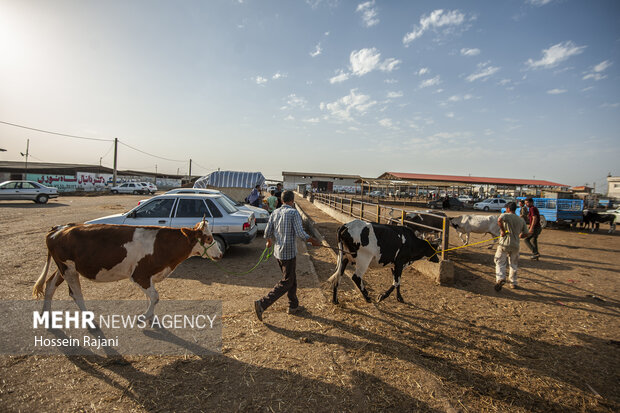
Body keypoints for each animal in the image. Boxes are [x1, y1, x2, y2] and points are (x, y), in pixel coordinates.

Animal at [32, 217, 223, 320]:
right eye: (207, 238)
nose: (220, 253)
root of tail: (58, 228)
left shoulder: (149, 276)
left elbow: (150, 297)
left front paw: (150, 317)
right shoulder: (140, 275)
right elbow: (155, 297)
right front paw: (144, 318)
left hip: (64, 267)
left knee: (50, 285)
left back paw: (46, 314)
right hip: (68, 269)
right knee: (76, 293)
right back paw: (89, 320)